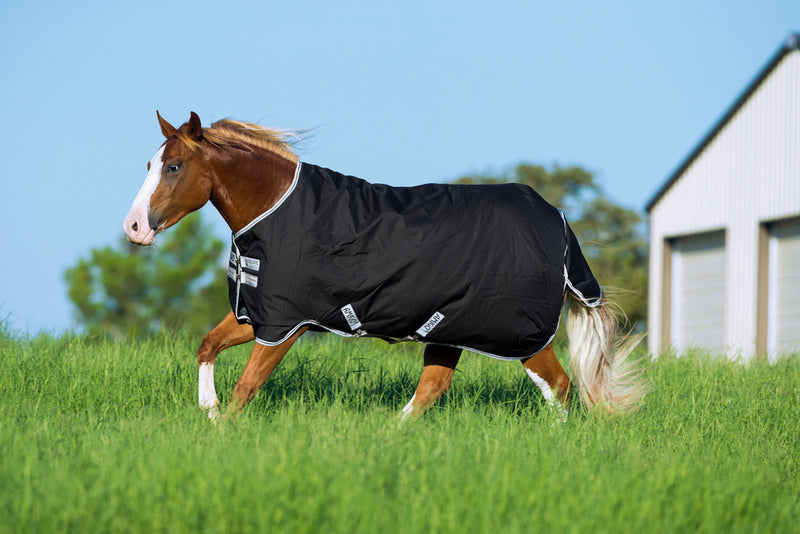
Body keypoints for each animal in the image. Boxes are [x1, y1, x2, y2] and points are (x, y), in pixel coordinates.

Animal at [123, 111, 643, 422]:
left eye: (173, 167)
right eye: (149, 164)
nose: (133, 227)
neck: (276, 209)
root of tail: (556, 221)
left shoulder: (287, 323)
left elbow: (247, 387)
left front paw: (222, 430)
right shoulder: (258, 314)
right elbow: (207, 346)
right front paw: (208, 413)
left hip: (518, 334)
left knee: (560, 386)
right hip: (449, 328)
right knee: (432, 389)